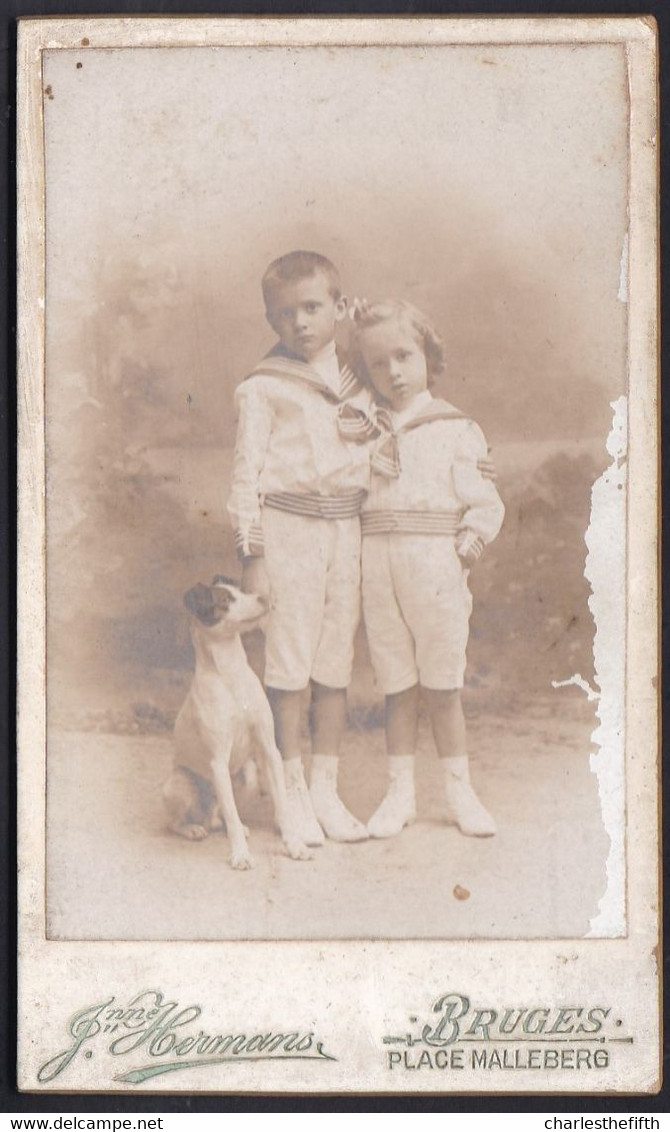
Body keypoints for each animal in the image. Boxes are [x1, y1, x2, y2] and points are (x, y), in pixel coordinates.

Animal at [161, 579, 312, 869]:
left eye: (242, 589)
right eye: (224, 599)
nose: (265, 597)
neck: (230, 674)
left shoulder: (268, 751)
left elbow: (282, 808)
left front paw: (295, 845)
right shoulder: (218, 761)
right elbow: (231, 813)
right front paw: (241, 855)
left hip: (249, 775)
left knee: (221, 815)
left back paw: (232, 825)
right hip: (178, 785)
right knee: (177, 822)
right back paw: (193, 829)